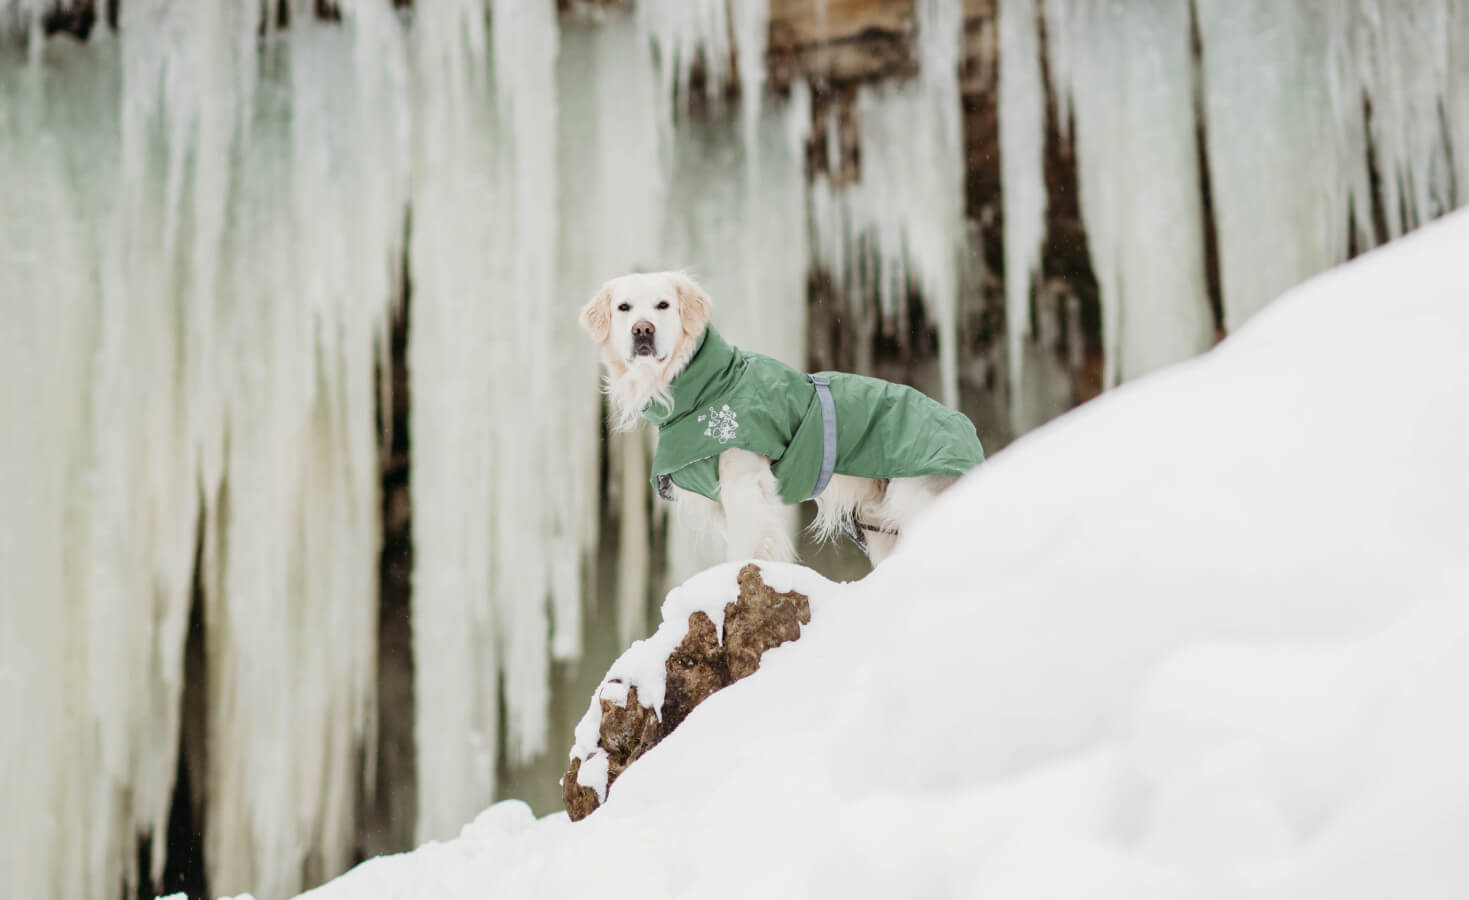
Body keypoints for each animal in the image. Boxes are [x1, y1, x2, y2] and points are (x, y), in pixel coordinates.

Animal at [575, 268, 987, 560]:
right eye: (624, 308)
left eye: (663, 305)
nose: (642, 330)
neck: (707, 386)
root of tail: (968, 429)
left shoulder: (745, 482)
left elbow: (747, 548)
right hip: (878, 522)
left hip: (914, 499)